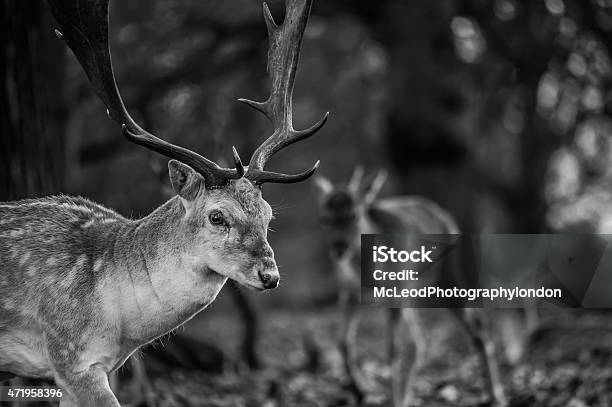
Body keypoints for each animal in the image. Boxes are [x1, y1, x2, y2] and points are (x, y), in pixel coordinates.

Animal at [310, 167, 506, 407]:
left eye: (354, 215)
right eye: (323, 218)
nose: (339, 248)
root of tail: (444, 214)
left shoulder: (393, 291)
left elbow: (392, 349)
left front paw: (390, 398)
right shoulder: (348, 293)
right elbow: (343, 342)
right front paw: (361, 390)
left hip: (447, 277)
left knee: (478, 326)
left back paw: (497, 395)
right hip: (416, 292)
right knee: (418, 340)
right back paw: (409, 397)